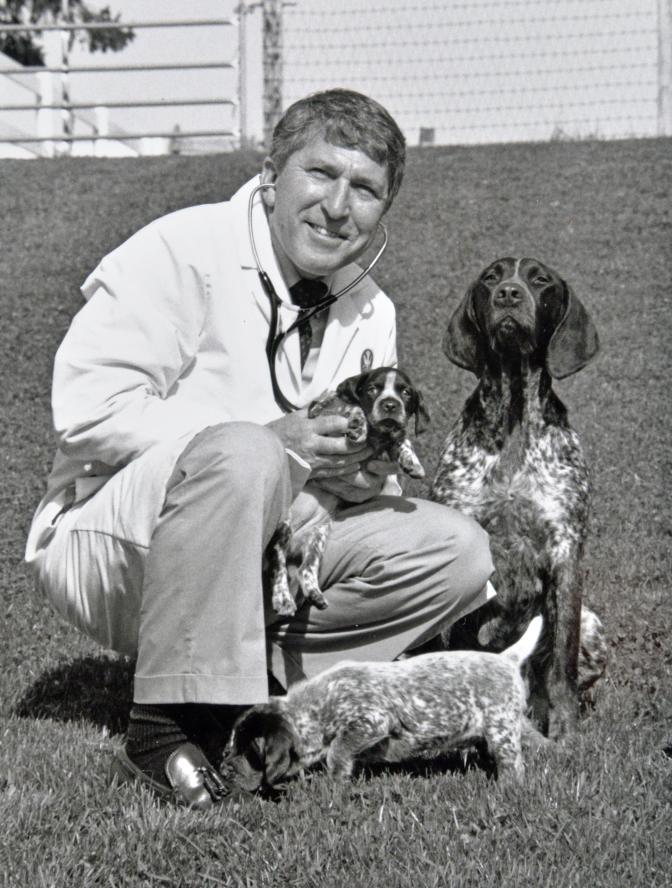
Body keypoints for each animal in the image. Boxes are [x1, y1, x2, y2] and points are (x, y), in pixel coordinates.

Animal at [228, 612, 544, 796]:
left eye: (249, 753)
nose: (226, 771)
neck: (315, 707)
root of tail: (506, 658)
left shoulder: (371, 720)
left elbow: (337, 752)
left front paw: (335, 785)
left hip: (501, 728)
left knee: (513, 765)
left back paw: (506, 789)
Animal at [266, 368, 428, 616]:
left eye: (406, 392)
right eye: (372, 389)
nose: (390, 405)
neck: (377, 434)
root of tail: (294, 541)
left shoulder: (378, 452)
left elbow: (400, 439)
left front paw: (412, 461)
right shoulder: (323, 414)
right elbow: (353, 407)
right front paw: (358, 424)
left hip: (318, 536)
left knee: (305, 568)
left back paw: (314, 593)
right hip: (282, 526)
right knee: (278, 561)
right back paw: (283, 598)